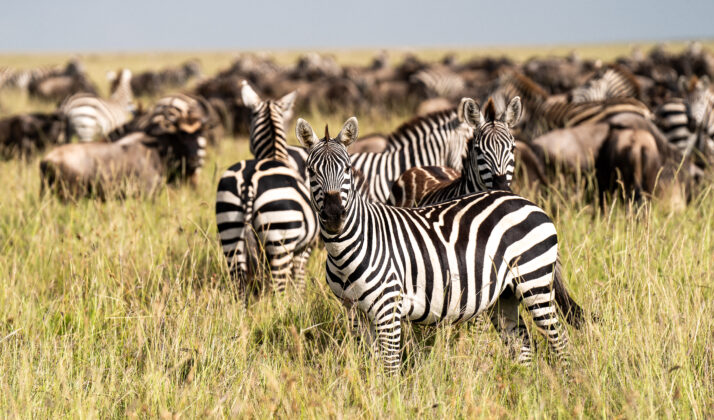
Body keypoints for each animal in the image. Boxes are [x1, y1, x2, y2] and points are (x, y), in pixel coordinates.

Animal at [213, 83, 312, 298]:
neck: (274, 154)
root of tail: (249, 182)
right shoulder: (304, 247)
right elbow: (299, 278)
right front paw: (299, 299)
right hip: (280, 237)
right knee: (277, 289)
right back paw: (281, 306)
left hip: (229, 229)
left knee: (239, 282)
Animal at [294, 116, 568, 372]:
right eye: (311, 171)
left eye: (348, 169)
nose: (334, 216)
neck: (344, 250)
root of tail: (525, 201)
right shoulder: (353, 311)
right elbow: (371, 362)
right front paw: (372, 388)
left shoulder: (388, 307)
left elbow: (390, 365)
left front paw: (392, 392)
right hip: (505, 294)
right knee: (522, 343)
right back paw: (526, 383)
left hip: (534, 281)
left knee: (559, 338)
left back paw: (565, 381)